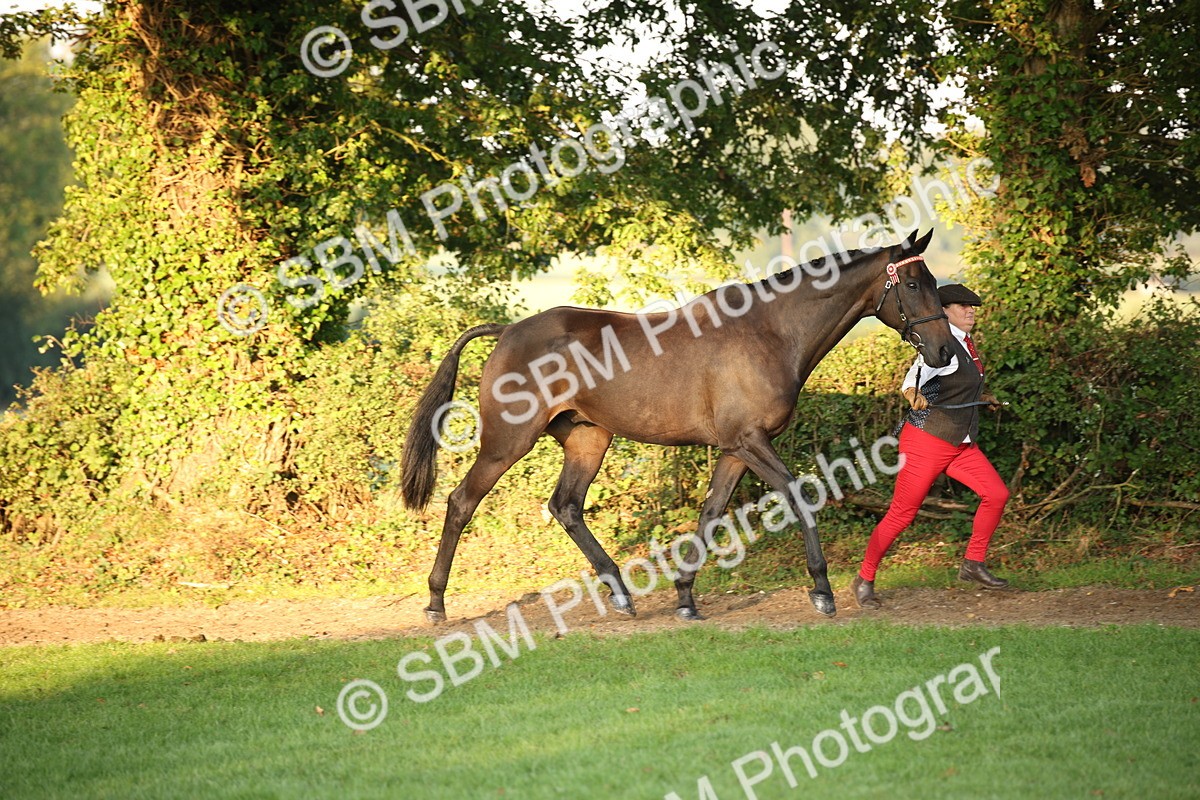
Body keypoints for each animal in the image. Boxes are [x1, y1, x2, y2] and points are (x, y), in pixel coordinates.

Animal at [400, 229, 953, 622]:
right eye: (911, 285)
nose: (945, 350)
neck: (770, 332)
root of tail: (509, 330)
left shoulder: (735, 450)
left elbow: (710, 514)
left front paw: (685, 596)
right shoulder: (749, 442)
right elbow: (799, 495)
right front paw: (821, 590)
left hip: (588, 438)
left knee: (566, 507)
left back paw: (621, 594)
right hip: (507, 441)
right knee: (462, 502)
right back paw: (435, 603)